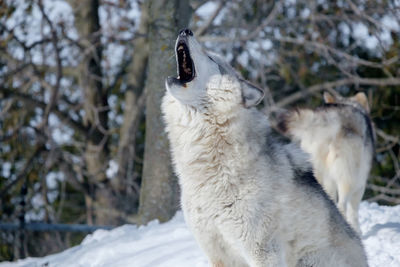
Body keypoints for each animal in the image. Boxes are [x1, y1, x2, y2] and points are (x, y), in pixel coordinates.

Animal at [278, 91, 376, 233]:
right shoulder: (360, 184)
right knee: (341, 205)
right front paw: (358, 231)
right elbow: (354, 212)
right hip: (347, 179)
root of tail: (328, 116)